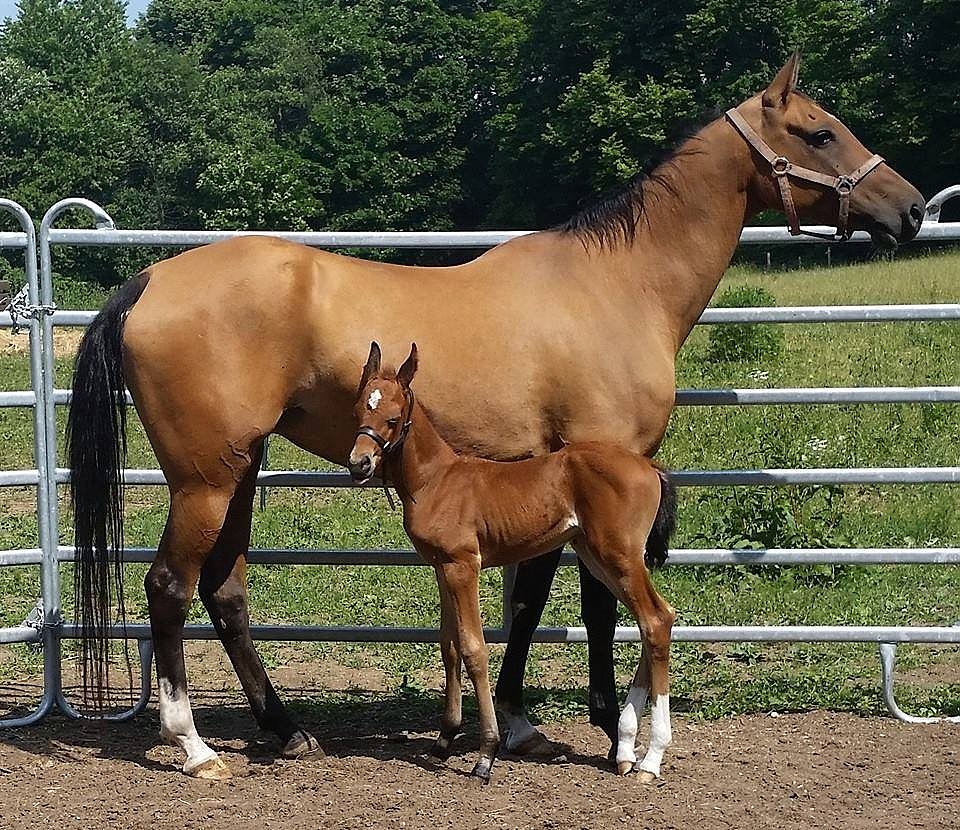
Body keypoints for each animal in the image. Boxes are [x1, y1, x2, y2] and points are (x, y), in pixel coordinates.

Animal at [348, 342, 677, 782]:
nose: (359, 464)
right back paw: (627, 749)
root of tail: (649, 466)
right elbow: (449, 645)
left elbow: (474, 649)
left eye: (393, 418)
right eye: (358, 411)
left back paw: (652, 758)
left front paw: (485, 756)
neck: (438, 479)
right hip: (599, 557)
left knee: (655, 620)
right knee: (655, 620)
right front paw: (444, 740)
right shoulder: (441, 567)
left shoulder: (463, 566)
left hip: (618, 555)